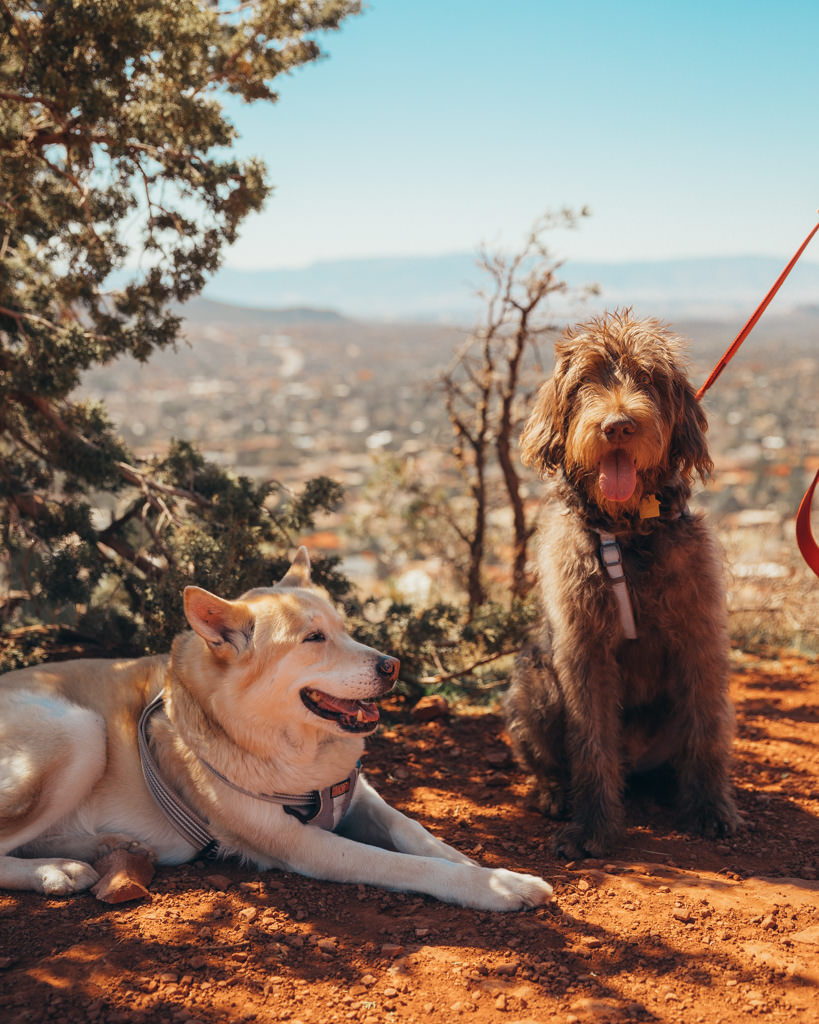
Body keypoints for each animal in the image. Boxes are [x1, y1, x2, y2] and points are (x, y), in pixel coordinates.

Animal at [1, 552, 548, 913]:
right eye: (314, 639)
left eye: (345, 629)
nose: (392, 665)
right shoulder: (298, 843)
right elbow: (404, 865)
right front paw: (498, 888)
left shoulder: (357, 795)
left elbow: (418, 835)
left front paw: (487, 868)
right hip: (79, 730)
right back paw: (55, 871)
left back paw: (110, 848)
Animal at [505, 309, 741, 856]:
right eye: (586, 379)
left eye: (649, 379)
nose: (618, 426)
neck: (626, 532)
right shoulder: (584, 647)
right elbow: (590, 739)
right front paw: (592, 826)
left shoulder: (700, 635)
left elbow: (707, 726)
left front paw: (710, 808)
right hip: (534, 680)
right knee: (549, 754)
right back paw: (553, 793)